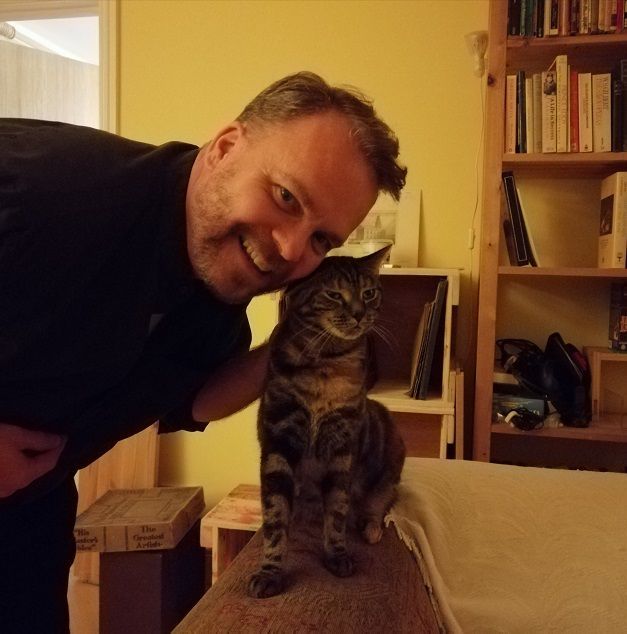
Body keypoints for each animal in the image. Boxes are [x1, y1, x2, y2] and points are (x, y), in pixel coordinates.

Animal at [248, 246, 406, 599]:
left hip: (392, 455)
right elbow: (275, 516)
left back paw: (370, 527)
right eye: (334, 295)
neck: (327, 363)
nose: (360, 314)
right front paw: (269, 570)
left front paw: (337, 554)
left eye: (369, 293)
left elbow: (336, 509)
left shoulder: (343, 446)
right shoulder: (279, 440)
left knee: (380, 502)